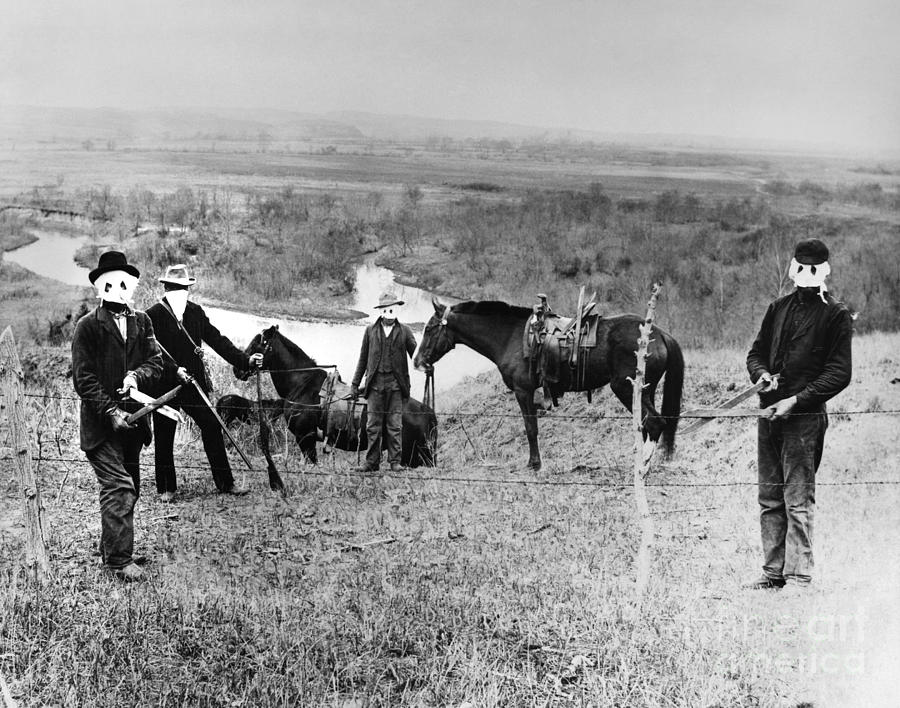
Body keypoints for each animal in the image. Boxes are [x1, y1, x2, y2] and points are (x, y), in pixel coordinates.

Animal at [237, 324, 438, 468]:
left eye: (257, 344)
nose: (238, 368)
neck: (301, 383)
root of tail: (429, 414)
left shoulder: (305, 438)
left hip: (415, 458)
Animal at [414, 298, 684, 470]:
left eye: (429, 329)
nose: (417, 362)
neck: (511, 337)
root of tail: (659, 334)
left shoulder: (523, 391)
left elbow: (530, 428)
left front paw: (534, 463)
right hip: (641, 391)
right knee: (649, 424)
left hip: (627, 389)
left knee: (654, 423)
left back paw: (644, 465)